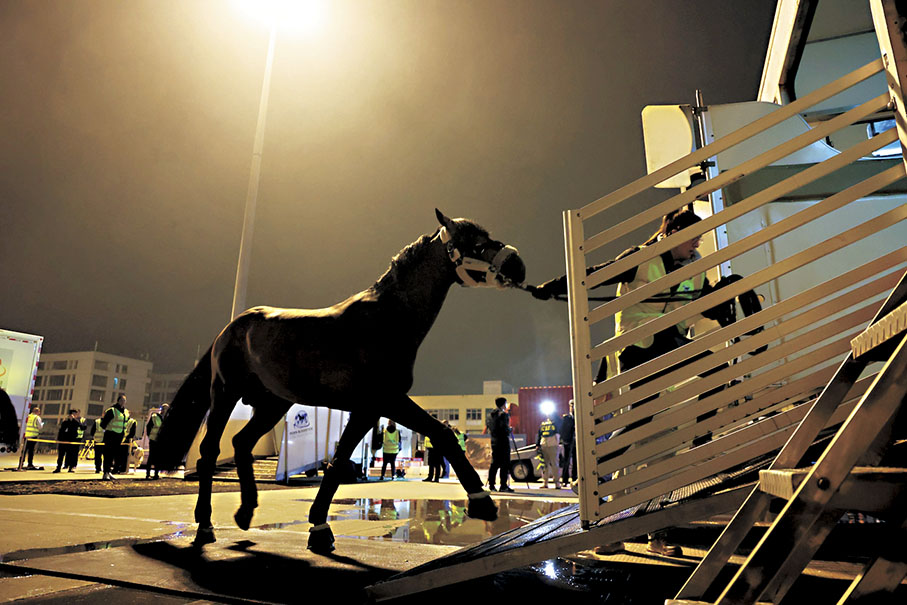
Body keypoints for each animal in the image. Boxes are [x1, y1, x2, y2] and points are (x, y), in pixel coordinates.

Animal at [154, 209, 524, 552]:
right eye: (475, 243)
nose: (518, 265)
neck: (388, 318)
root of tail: (231, 327)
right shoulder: (383, 401)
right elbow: (439, 435)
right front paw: (483, 502)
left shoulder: (372, 408)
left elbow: (342, 459)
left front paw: (319, 527)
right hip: (225, 393)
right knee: (209, 451)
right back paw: (205, 526)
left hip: (273, 403)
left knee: (242, 443)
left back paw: (245, 513)